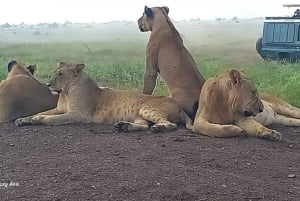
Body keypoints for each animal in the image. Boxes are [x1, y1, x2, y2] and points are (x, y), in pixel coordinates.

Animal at [14, 61, 192, 133]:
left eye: (60, 74)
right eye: (53, 73)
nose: (48, 84)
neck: (65, 92)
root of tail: (179, 106)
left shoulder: (80, 115)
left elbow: (52, 119)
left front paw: (37, 120)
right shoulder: (60, 109)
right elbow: (41, 112)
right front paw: (24, 119)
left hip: (146, 109)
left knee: (170, 124)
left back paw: (158, 128)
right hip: (140, 115)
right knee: (144, 126)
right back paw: (123, 127)